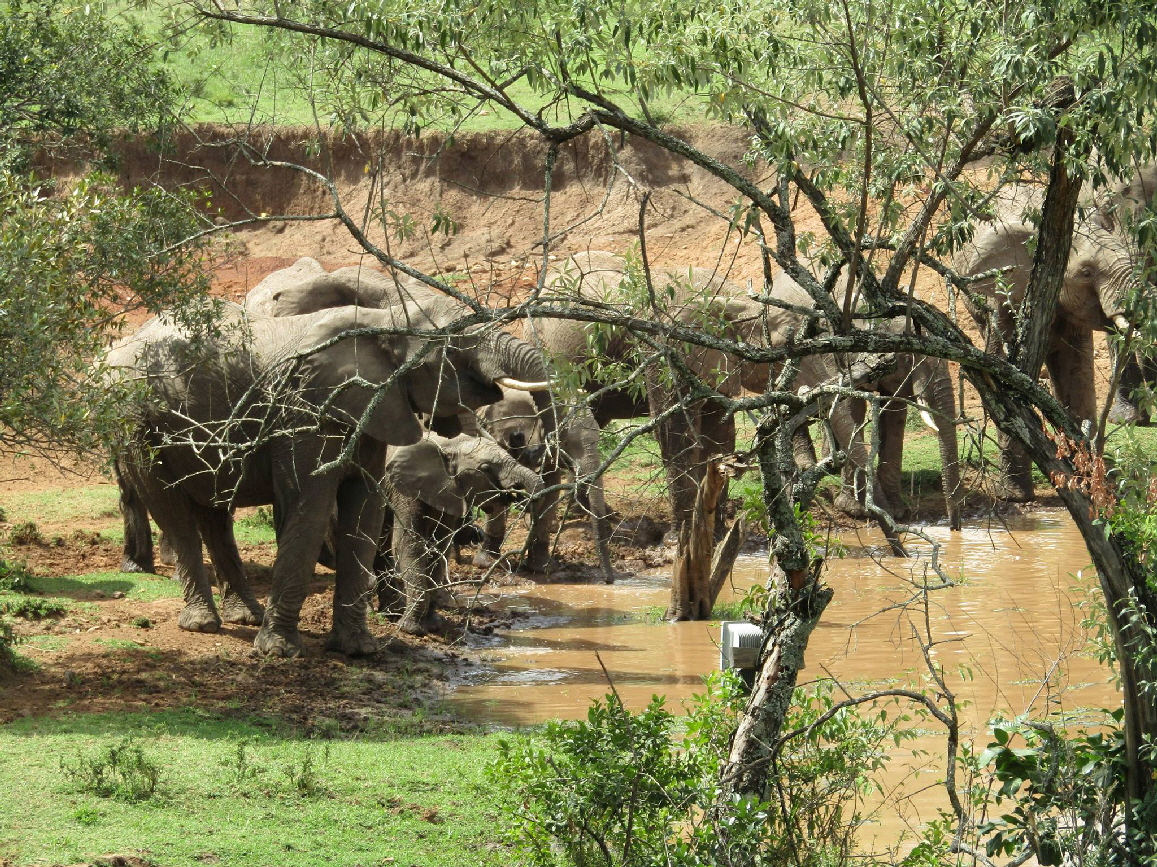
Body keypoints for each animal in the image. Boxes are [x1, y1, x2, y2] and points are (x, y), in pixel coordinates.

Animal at [105, 298, 550, 657]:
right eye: (456, 344)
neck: (383, 320)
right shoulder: (305, 409)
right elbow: (312, 509)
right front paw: (279, 652)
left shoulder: (373, 409)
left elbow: (364, 514)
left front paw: (358, 650)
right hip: (136, 423)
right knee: (172, 511)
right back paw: (203, 624)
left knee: (215, 513)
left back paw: (245, 617)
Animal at [953, 186, 1143, 497]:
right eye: (1086, 273)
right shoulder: (1004, 296)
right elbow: (1003, 380)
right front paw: (1016, 499)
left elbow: (1074, 372)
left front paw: (1089, 482)